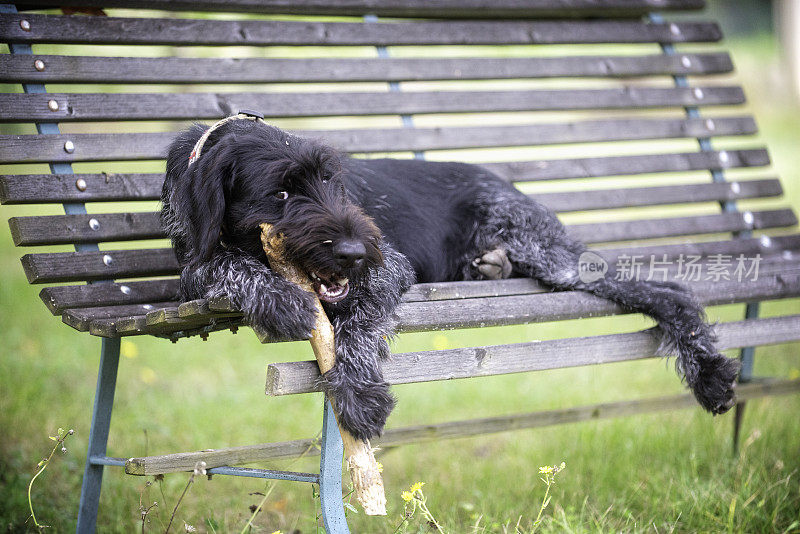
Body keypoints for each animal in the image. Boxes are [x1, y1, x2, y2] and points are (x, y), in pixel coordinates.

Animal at [159, 115, 740, 442]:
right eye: (280, 194)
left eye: (334, 184)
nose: (353, 252)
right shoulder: (191, 267)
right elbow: (217, 265)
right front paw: (277, 297)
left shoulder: (388, 267)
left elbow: (359, 325)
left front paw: (359, 392)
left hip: (549, 254)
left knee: (667, 290)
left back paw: (710, 373)